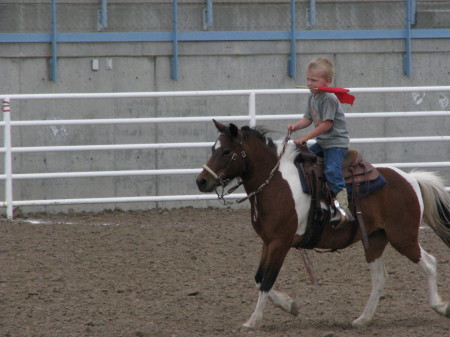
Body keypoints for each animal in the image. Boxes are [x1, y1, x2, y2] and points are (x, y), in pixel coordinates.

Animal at [197, 120, 450, 328]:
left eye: (226, 151)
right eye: (212, 149)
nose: (201, 181)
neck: (275, 183)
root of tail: (410, 179)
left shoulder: (280, 242)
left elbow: (267, 279)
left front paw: (253, 321)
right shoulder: (267, 243)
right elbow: (259, 278)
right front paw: (290, 305)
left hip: (403, 237)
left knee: (429, 263)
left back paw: (440, 307)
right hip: (375, 239)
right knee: (380, 278)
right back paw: (362, 319)